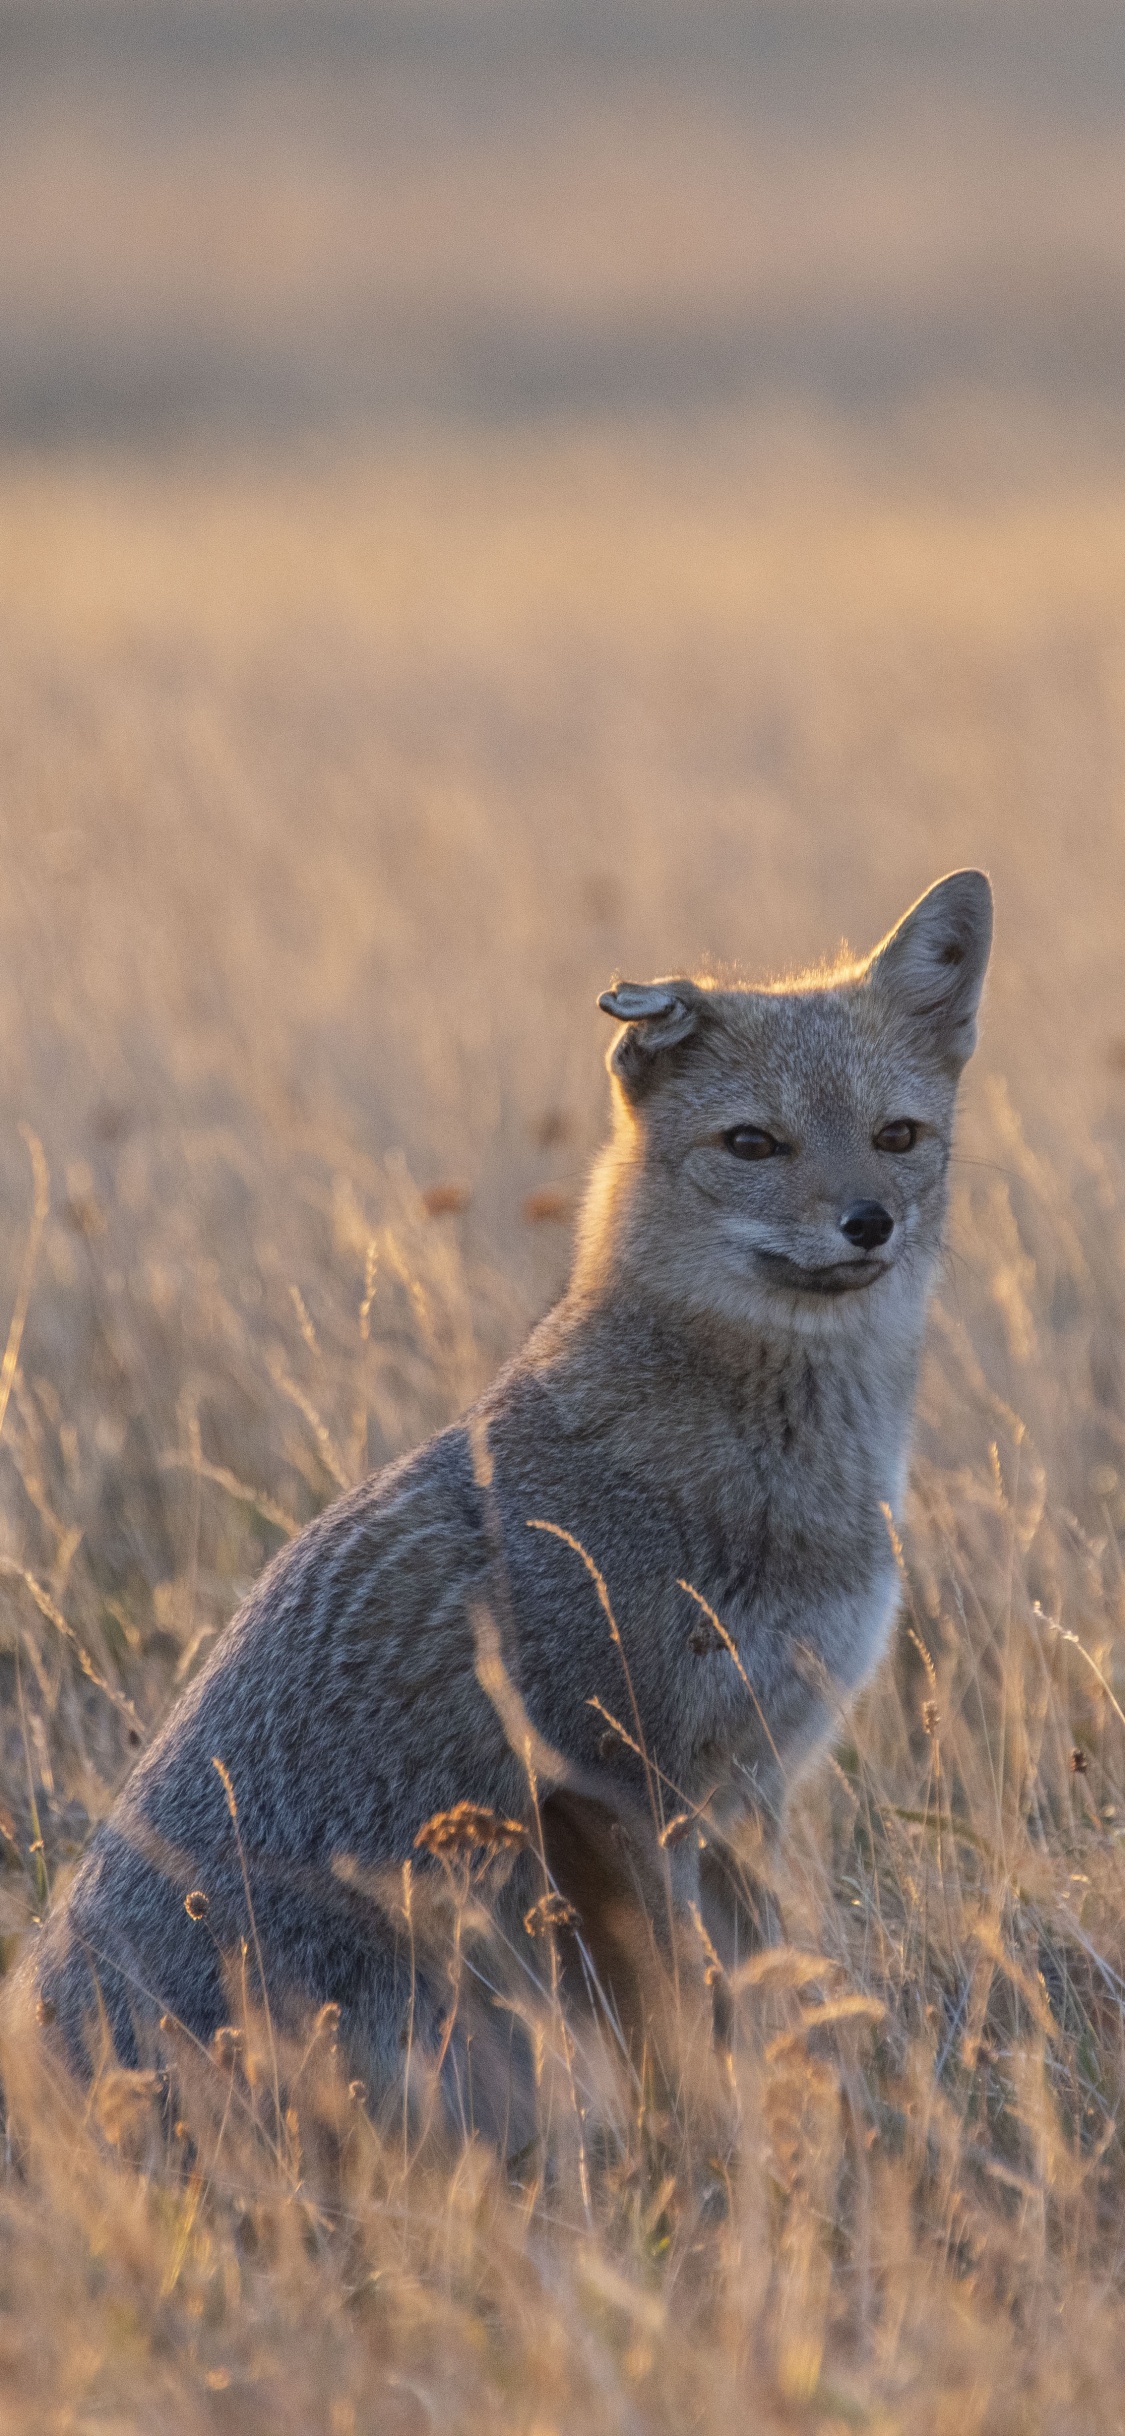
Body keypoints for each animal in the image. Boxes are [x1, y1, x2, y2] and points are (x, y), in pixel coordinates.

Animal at [32, 869, 992, 2111]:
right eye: (753, 1143)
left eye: (897, 1137)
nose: (868, 1222)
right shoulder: (616, 1787)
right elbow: (685, 2029)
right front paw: (714, 2137)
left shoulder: (750, 1789)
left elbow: (764, 2003)